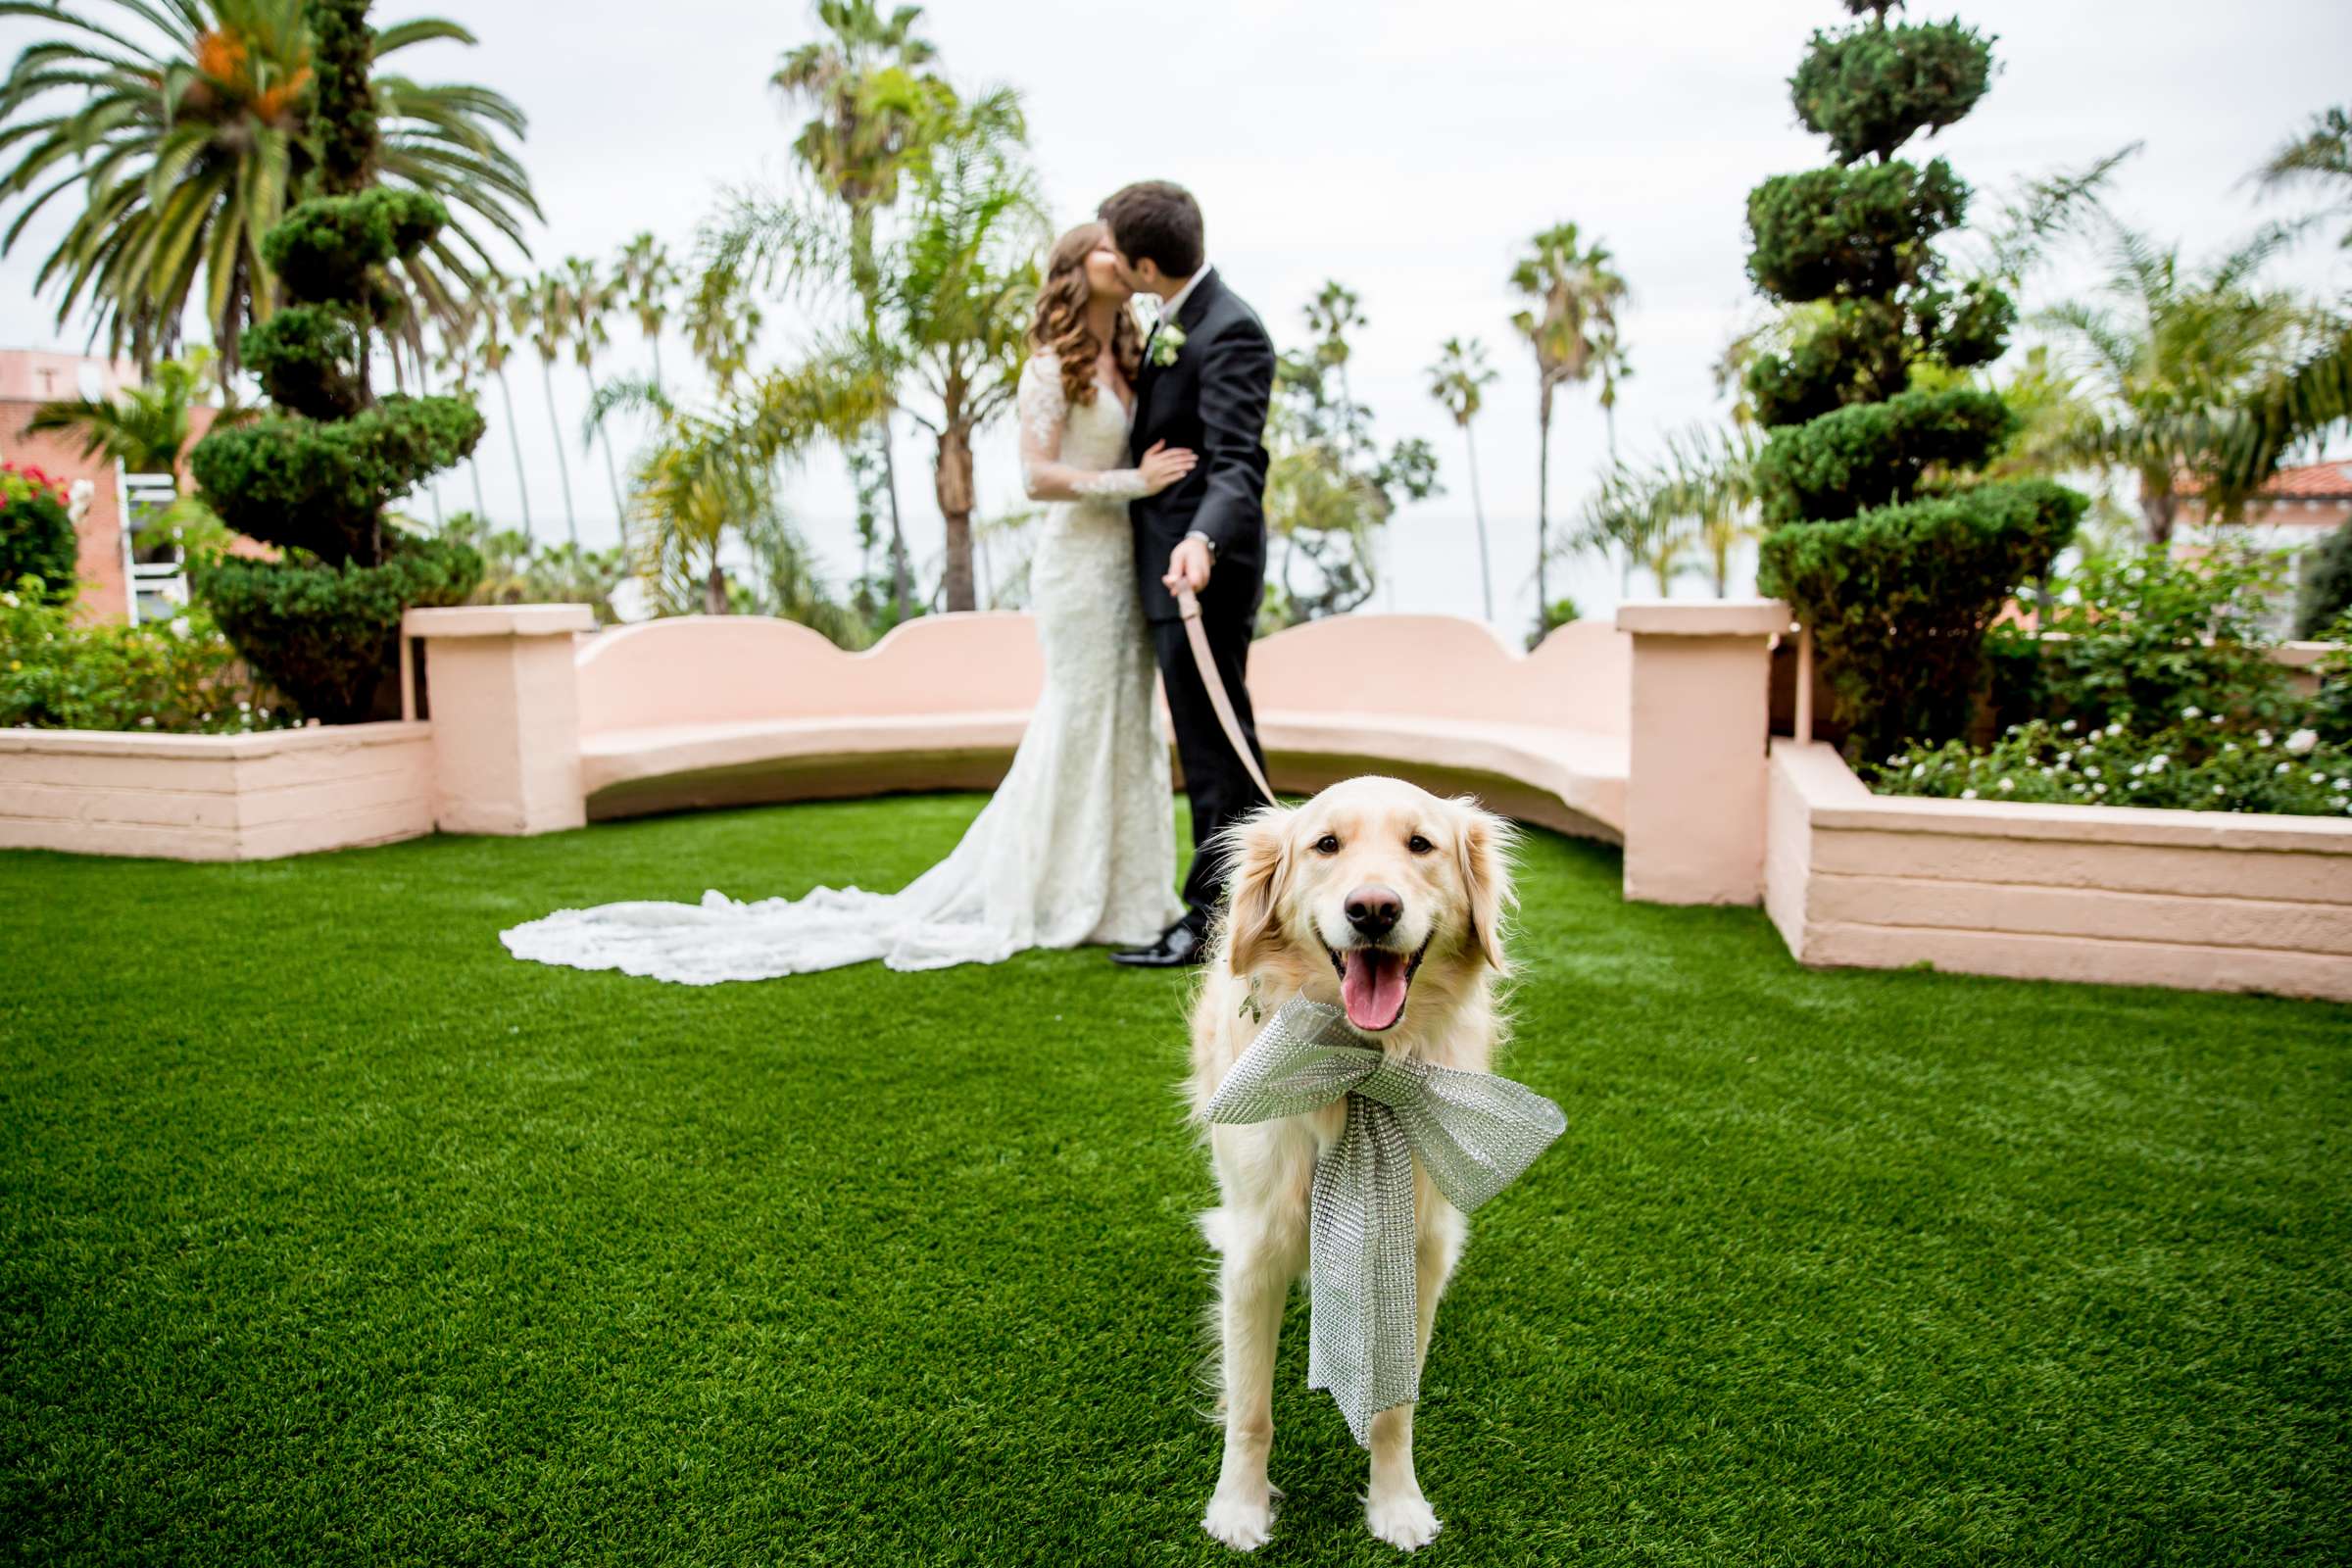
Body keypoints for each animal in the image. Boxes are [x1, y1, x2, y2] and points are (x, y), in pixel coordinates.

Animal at [1185, 770, 1514, 1542]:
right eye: (1326, 845)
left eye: (1421, 844)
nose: (1372, 909)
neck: (1362, 1067)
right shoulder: (1258, 1246)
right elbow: (1251, 1410)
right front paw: (1238, 1508)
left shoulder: (1420, 1245)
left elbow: (1396, 1409)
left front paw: (1397, 1504)